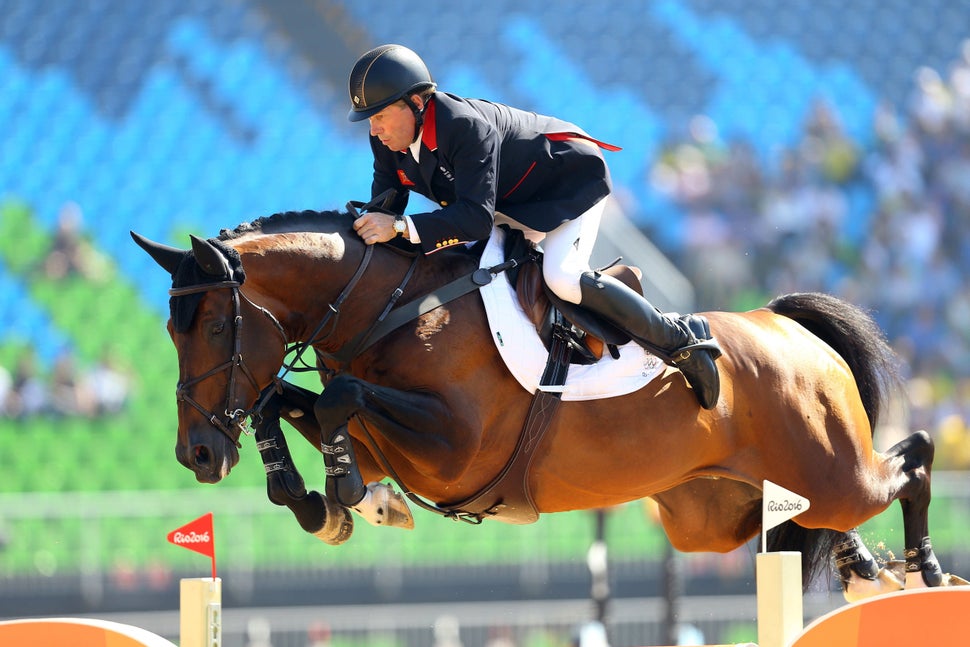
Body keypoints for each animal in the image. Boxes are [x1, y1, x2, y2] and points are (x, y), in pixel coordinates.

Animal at [131, 207, 961, 600]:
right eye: (169, 329)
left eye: (212, 325)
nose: (196, 454)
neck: (388, 306)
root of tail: (787, 325)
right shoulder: (383, 439)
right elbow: (289, 402)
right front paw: (326, 503)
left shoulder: (455, 448)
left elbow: (337, 395)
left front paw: (344, 498)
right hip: (714, 514)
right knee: (825, 513)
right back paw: (864, 565)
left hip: (832, 468)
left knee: (913, 460)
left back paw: (924, 569)